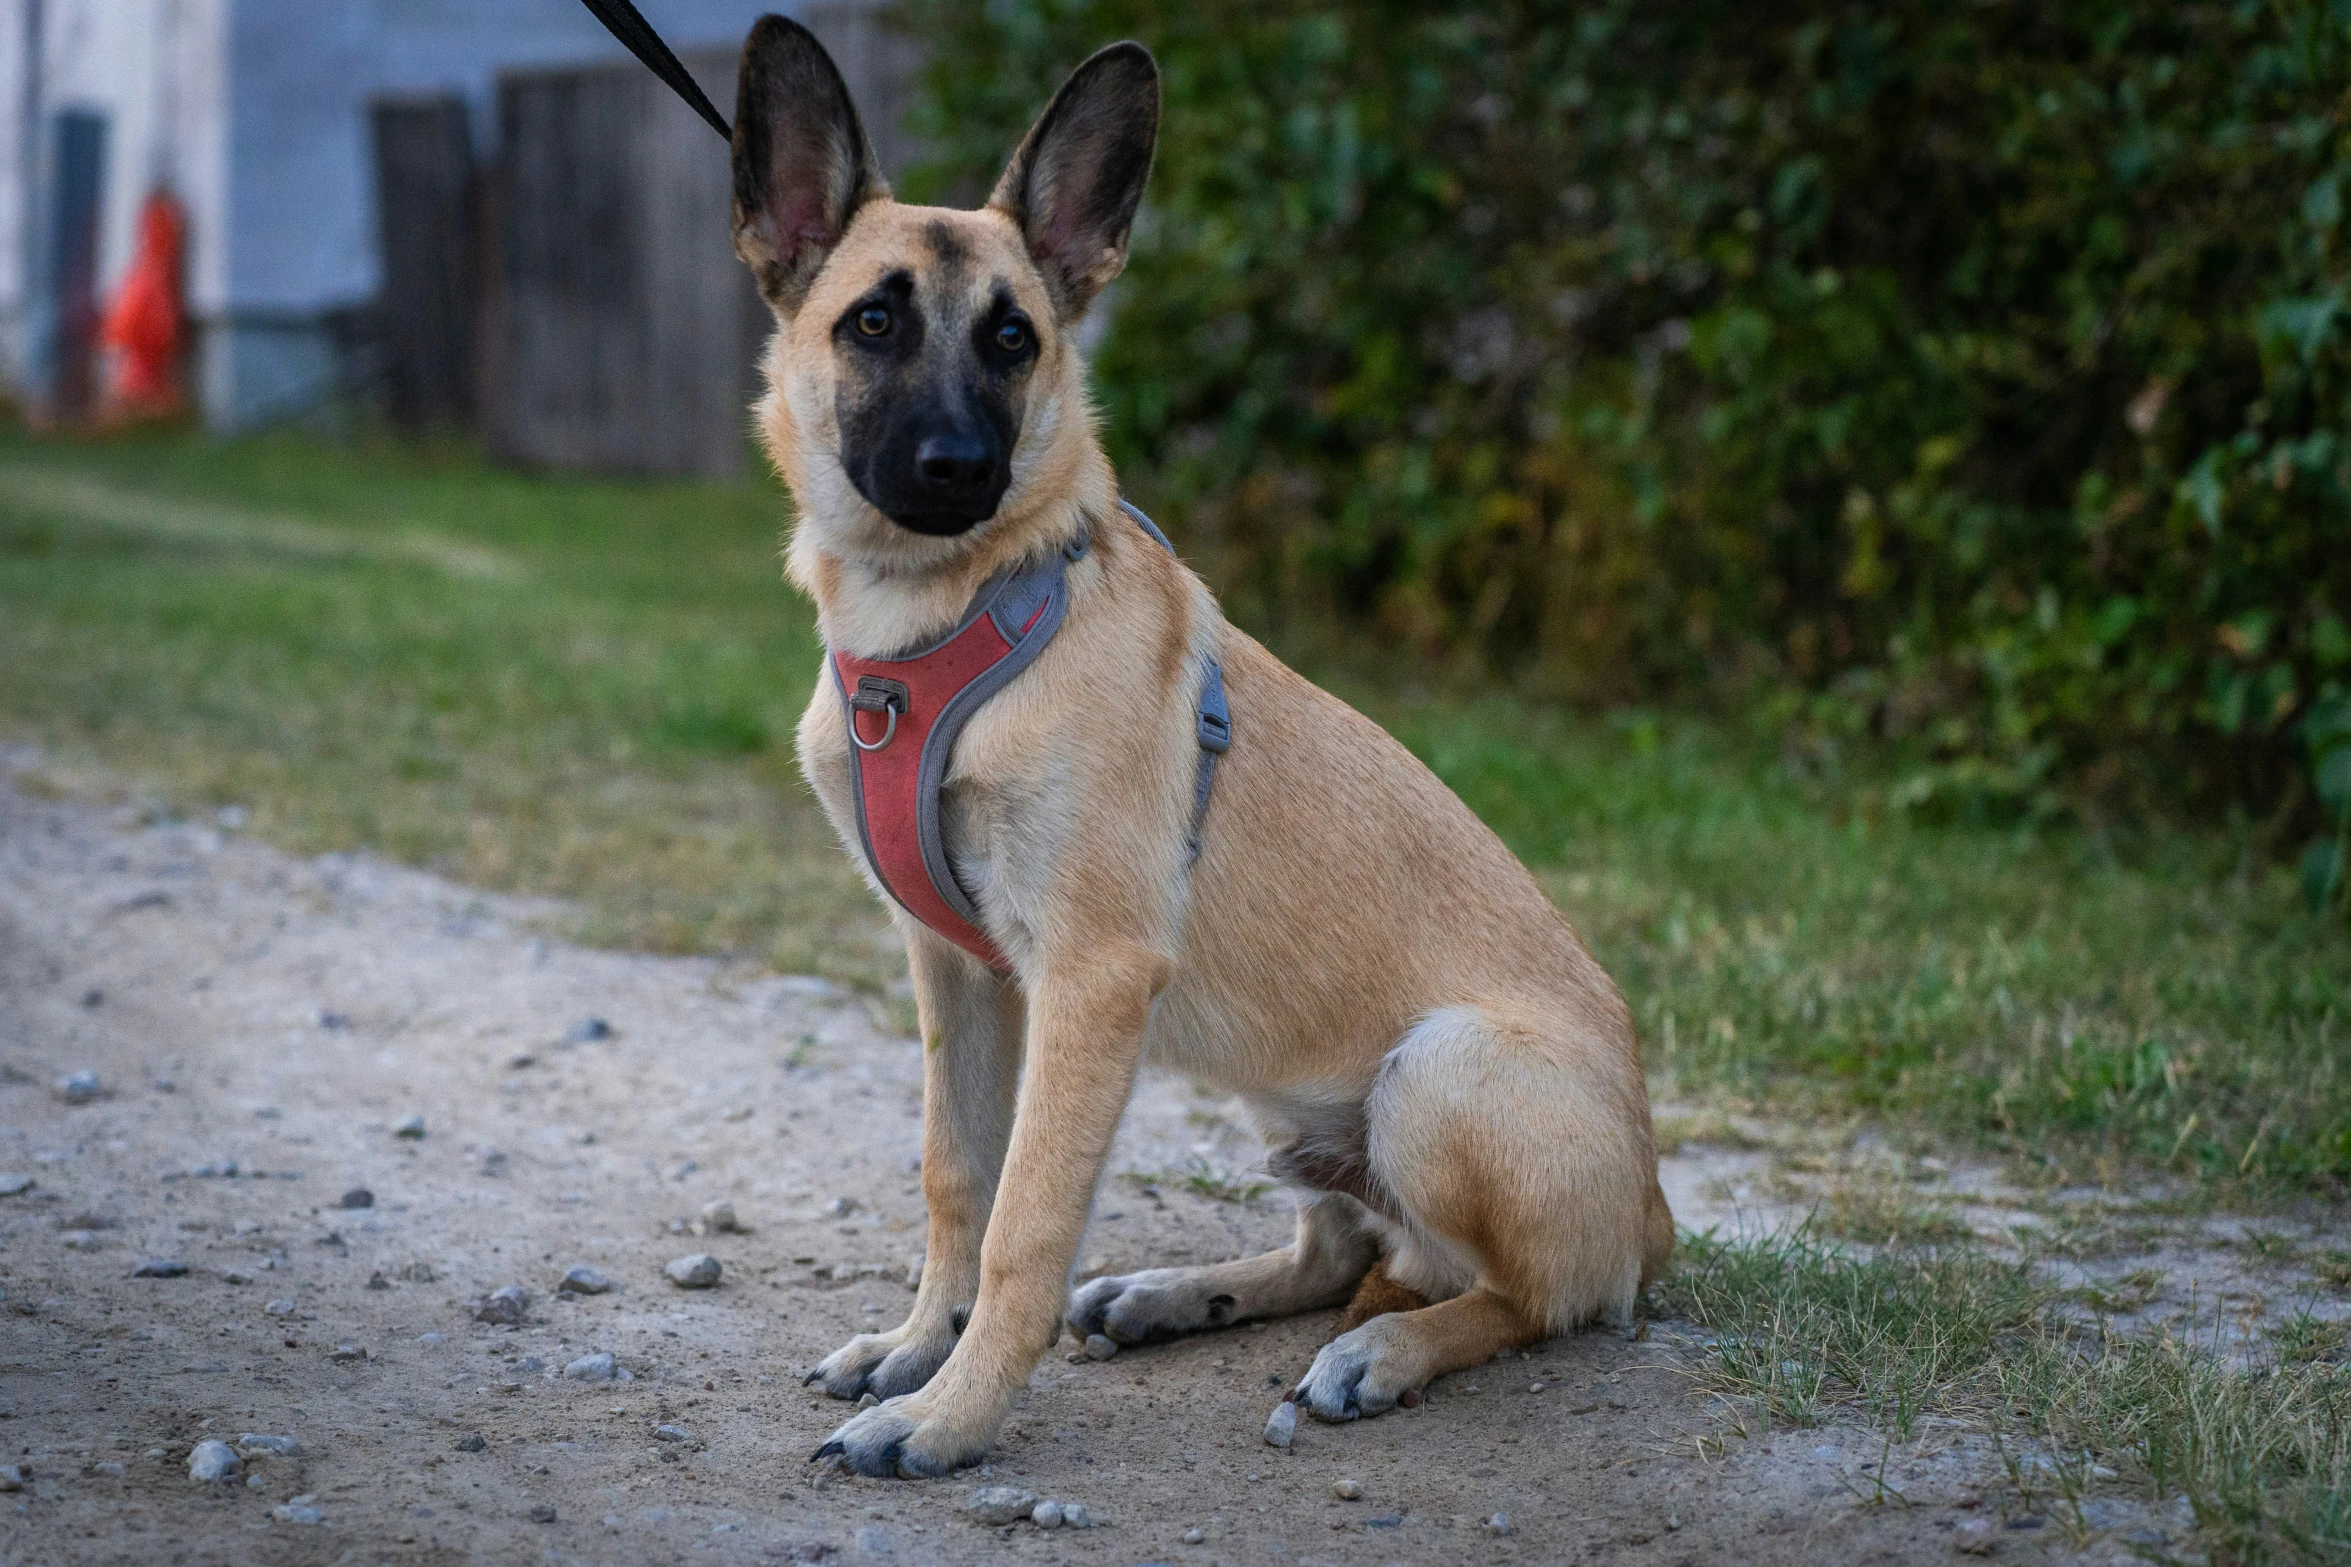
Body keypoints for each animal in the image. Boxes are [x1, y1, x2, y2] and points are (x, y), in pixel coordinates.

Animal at [728, 18, 1673, 1475]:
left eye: (1013, 339)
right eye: (871, 322)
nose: (954, 468)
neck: (953, 614)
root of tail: (1654, 1202)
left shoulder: (1088, 980)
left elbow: (1024, 1223)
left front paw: (951, 1414)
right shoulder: (956, 970)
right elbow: (955, 1176)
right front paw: (917, 1345)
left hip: (1436, 1070)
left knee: (1519, 1298)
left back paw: (1383, 1353)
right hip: (1288, 1097)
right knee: (1339, 1247)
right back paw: (1183, 1293)